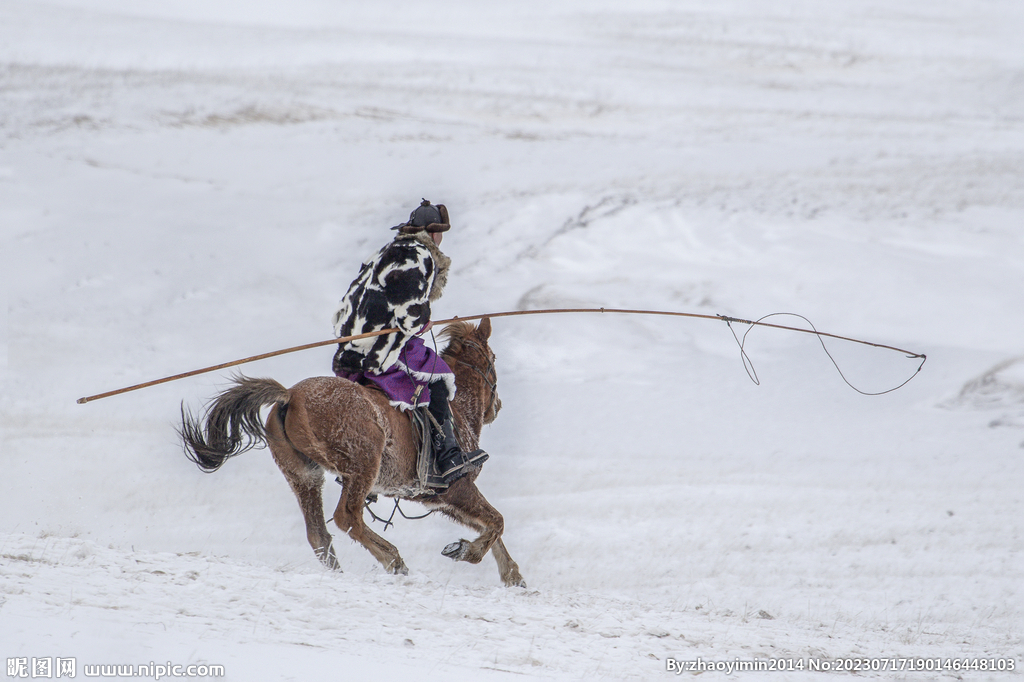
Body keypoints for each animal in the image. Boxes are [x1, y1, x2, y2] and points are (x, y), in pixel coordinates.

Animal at [179, 315, 524, 585]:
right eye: (493, 360)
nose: (497, 406)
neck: (457, 407)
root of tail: (290, 396)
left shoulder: (438, 499)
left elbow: (490, 525)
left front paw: (513, 575)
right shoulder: (457, 489)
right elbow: (496, 521)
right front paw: (466, 551)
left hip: (304, 476)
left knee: (318, 533)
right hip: (362, 466)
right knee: (347, 517)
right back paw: (393, 559)